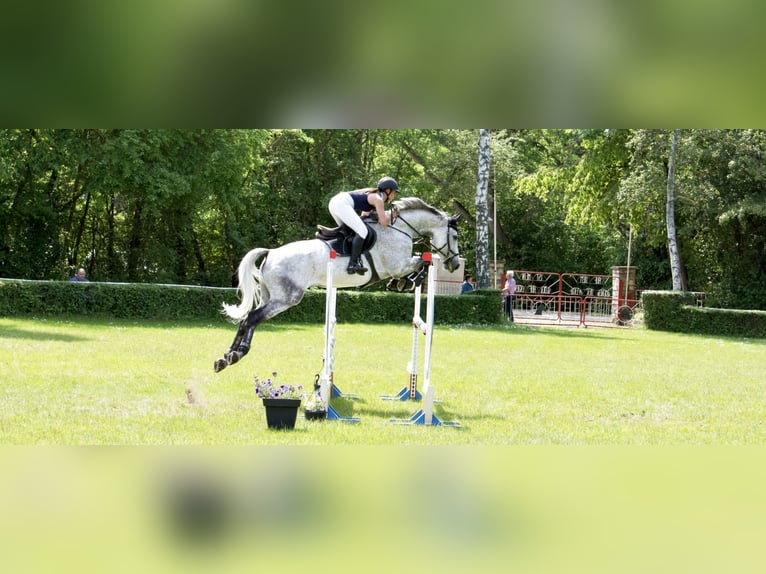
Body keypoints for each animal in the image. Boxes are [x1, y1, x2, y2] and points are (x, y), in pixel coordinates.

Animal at [213, 198, 460, 374]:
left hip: (269, 295)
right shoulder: (397, 264)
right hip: (286, 298)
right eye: (456, 236)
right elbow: (422, 261)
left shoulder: (399, 264)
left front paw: (401, 283)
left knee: (247, 319)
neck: (400, 229)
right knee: (253, 318)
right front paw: (407, 281)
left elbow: (421, 261)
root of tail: (271, 253)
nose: (455, 264)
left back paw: (225, 357)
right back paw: (237, 354)